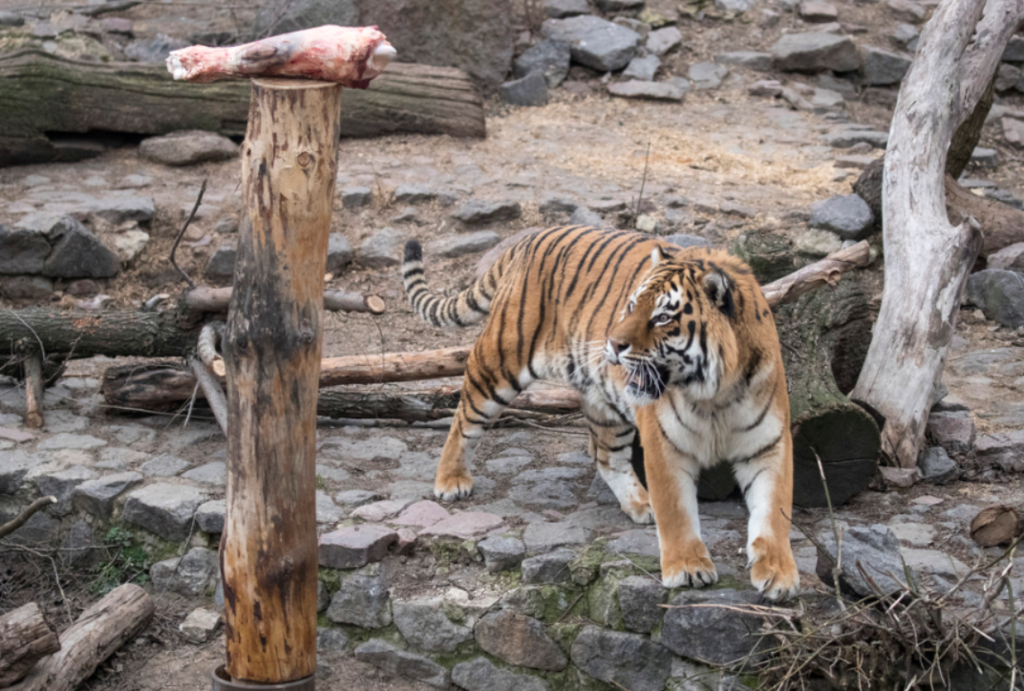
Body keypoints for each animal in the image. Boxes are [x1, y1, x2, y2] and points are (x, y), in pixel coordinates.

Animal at [399, 225, 798, 601]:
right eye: (632, 305)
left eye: (662, 318)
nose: (613, 343)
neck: (714, 394)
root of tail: (531, 238)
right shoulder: (665, 443)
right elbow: (676, 510)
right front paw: (687, 568)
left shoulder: (768, 445)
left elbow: (774, 511)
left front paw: (779, 575)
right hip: (498, 361)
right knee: (464, 418)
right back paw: (451, 481)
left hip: (602, 401)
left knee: (605, 455)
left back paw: (641, 503)